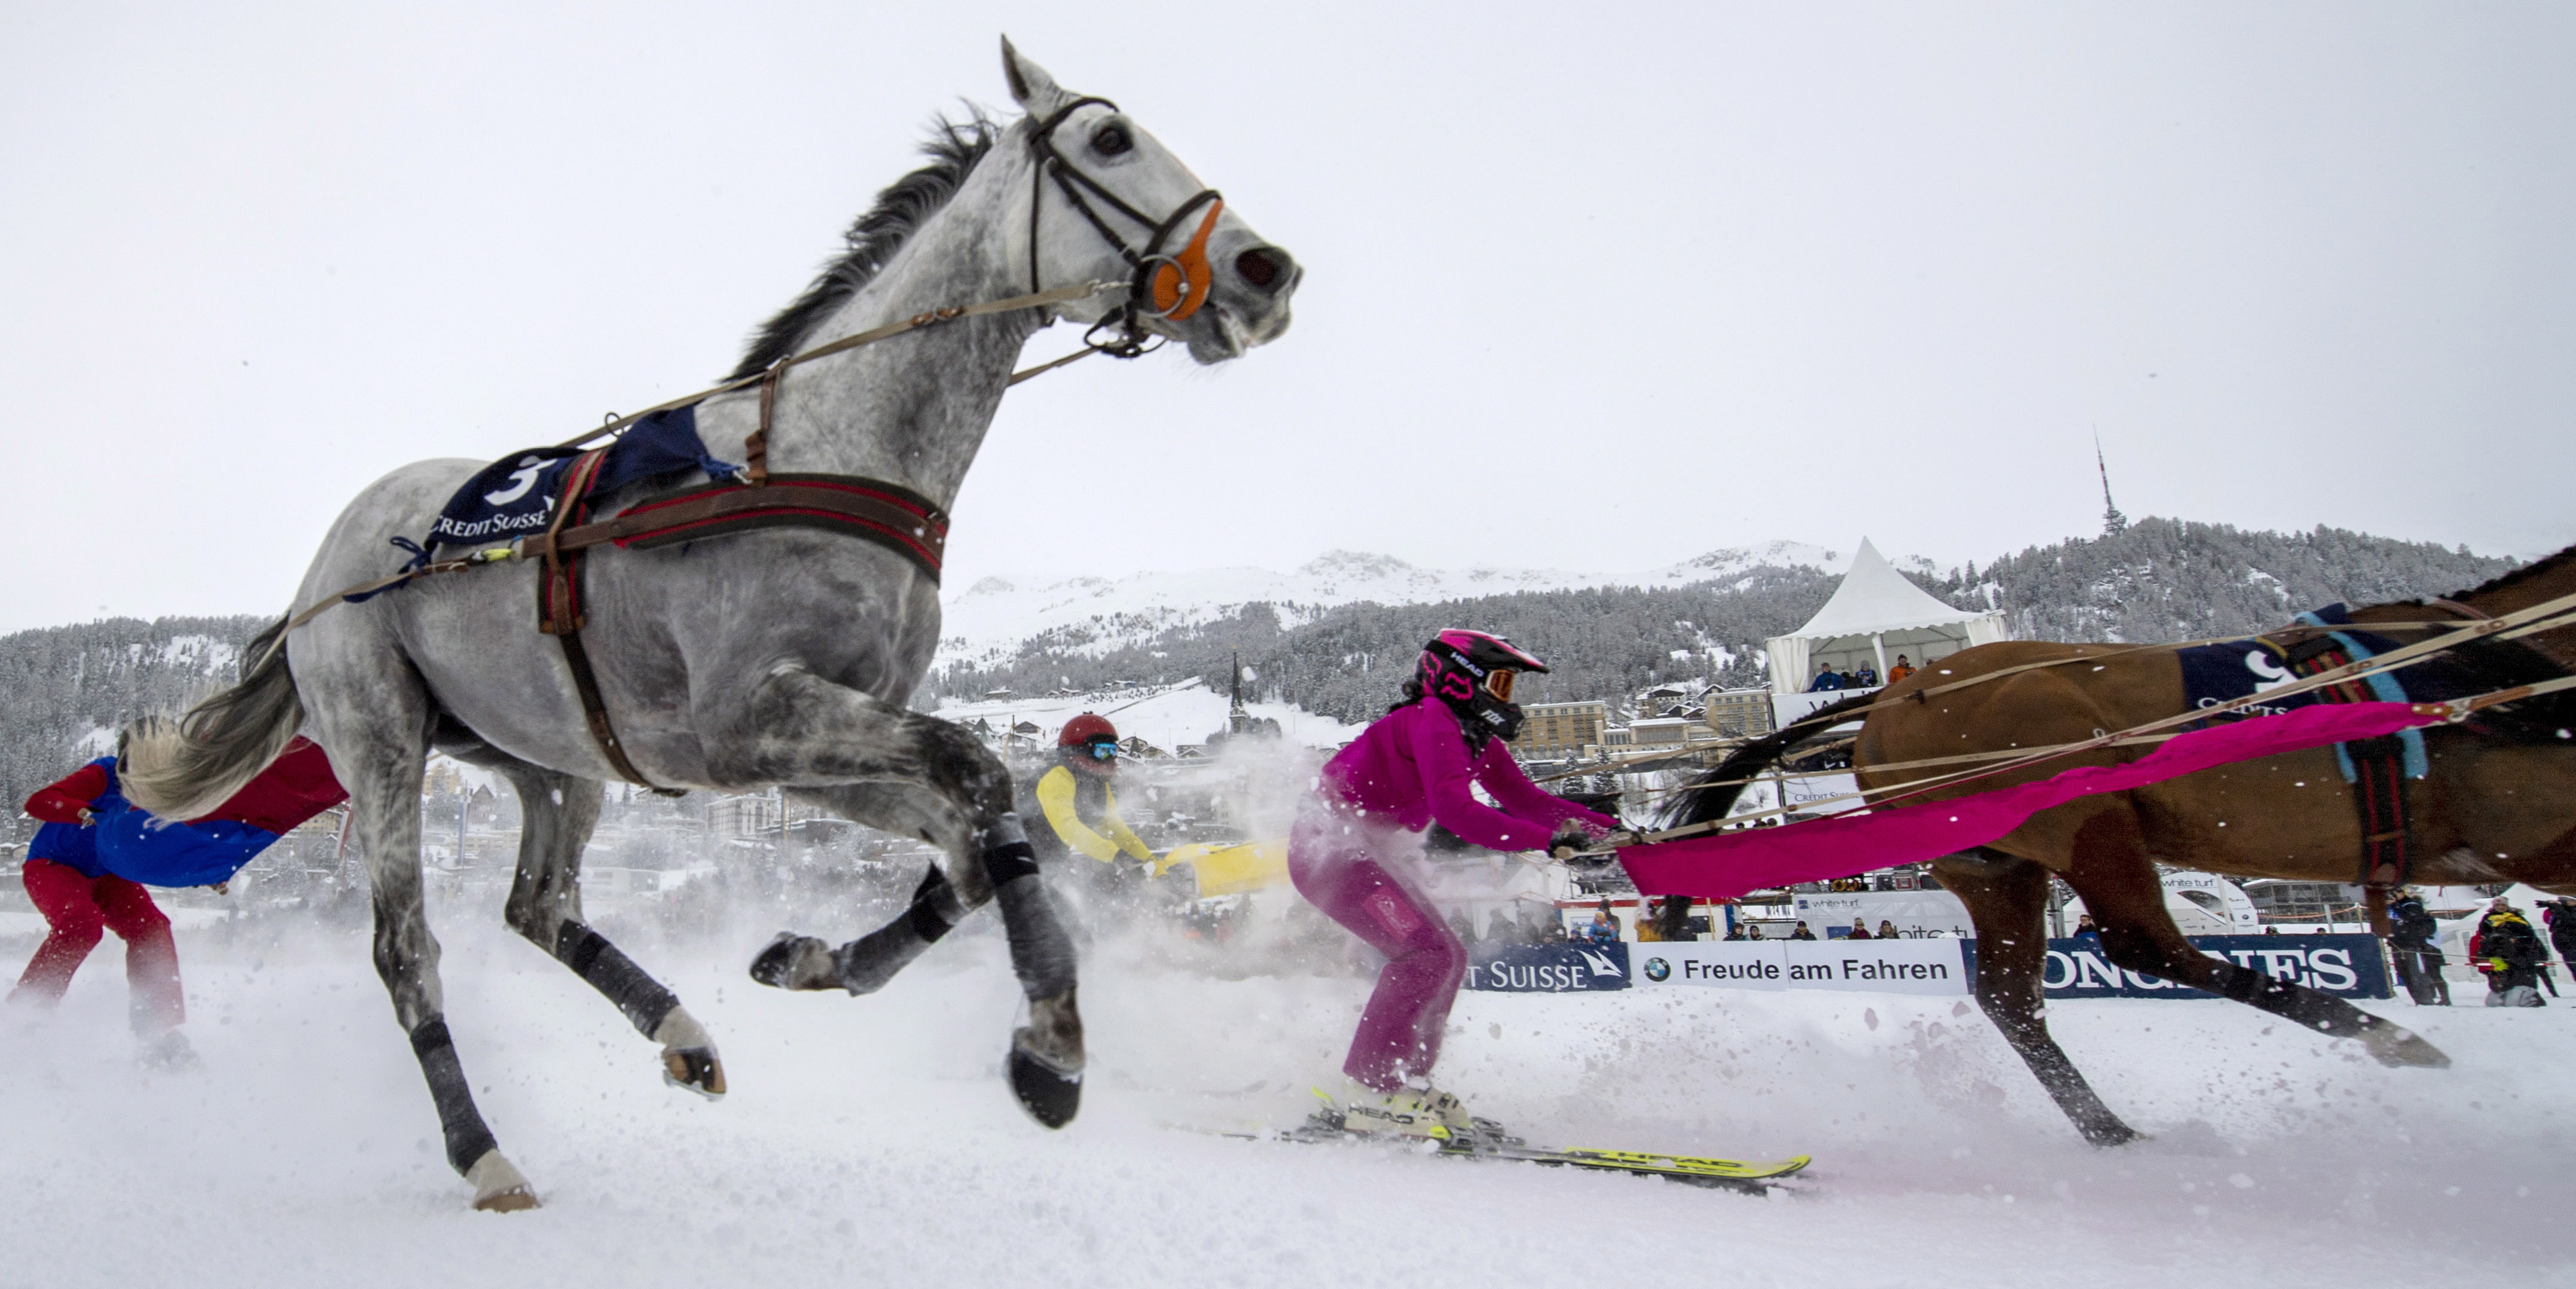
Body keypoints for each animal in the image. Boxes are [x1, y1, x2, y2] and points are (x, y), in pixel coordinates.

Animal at [121, 38, 1298, 1206]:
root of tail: (319, 570)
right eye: (1110, 138)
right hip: (384, 743)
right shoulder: (755, 723)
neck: (823, 455)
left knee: (537, 907)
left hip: (550, 760)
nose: (1266, 272)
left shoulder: (815, 747)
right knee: (409, 952)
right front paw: (1051, 1043)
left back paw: (679, 1031)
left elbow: (970, 854)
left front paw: (821, 960)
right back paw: (484, 1151)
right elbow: (975, 770)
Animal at [1669, 541, 2576, 1139]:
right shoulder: (2535, 833)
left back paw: (2112, 1131)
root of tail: (1895, 698)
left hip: (2000, 866)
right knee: (2143, 943)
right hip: (2087, 821)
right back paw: (2392, 1041)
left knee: (2018, 996)